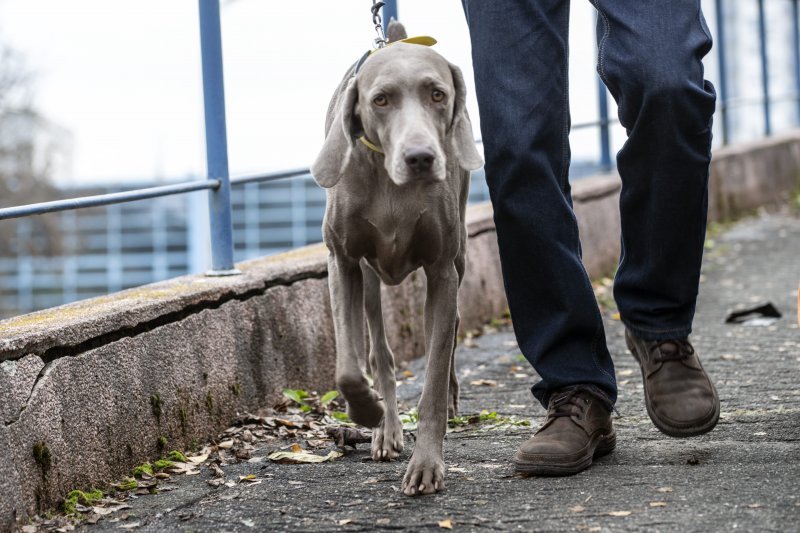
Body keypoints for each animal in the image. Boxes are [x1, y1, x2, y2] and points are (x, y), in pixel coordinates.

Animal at [310, 20, 482, 494]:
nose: (420, 158)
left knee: (450, 334)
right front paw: (368, 412)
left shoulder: (441, 270)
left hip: (458, 256)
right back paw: (385, 429)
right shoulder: (342, 262)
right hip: (370, 279)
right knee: (379, 350)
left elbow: (433, 378)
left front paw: (426, 464)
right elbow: (350, 367)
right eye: (380, 99)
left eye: (437, 94)